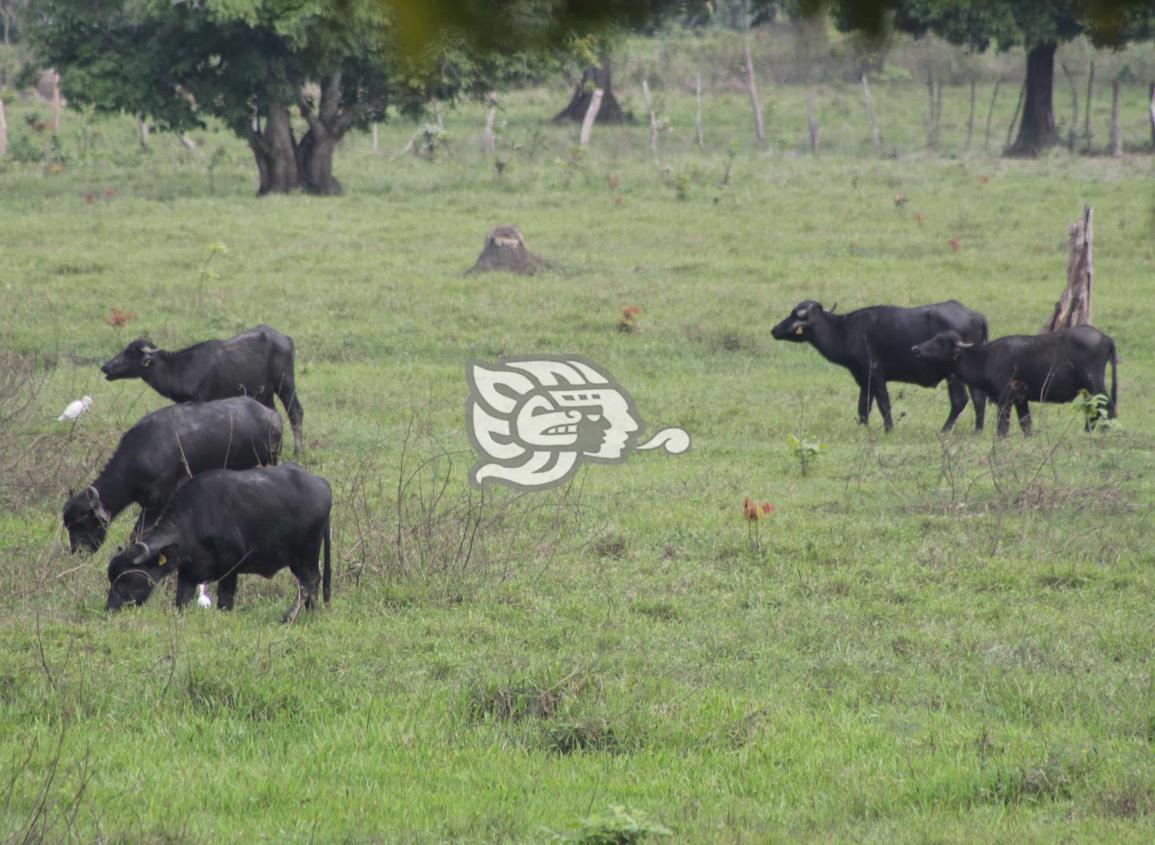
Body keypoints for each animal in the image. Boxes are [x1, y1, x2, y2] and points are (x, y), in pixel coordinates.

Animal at [63, 397, 281, 554]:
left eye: (82, 523)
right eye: (68, 526)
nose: (78, 552)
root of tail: (273, 416)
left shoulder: (158, 503)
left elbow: (138, 535)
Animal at [101, 325, 304, 454]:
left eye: (130, 353)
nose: (105, 367)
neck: (181, 369)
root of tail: (286, 339)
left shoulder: (202, 400)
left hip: (285, 384)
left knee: (295, 412)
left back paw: (298, 451)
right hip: (265, 393)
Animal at [103, 461, 334, 618]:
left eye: (125, 578)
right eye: (112, 579)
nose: (110, 608)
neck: (195, 521)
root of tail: (322, 484)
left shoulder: (231, 568)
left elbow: (224, 603)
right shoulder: (187, 573)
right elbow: (181, 602)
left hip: (307, 552)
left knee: (309, 582)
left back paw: (288, 617)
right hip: (298, 558)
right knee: (311, 583)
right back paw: (310, 613)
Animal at [771, 300, 988, 431]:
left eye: (794, 315)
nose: (774, 330)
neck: (845, 331)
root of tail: (977, 316)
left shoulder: (875, 374)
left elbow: (884, 404)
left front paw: (889, 429)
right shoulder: (862, 378)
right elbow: (863, 406)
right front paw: (863, 428)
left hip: (953, 376)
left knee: (960, 400)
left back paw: (944, 430)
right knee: (979, 398)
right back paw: (977, 430)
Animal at [910, 325, 1118, 436]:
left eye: (940, 342)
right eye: (935, 337)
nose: (916, 349)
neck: (985, 359)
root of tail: (1106, 338)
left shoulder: (1005, 399)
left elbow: (1002, 428)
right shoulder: (1021, 400)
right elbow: (1026, 425)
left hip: (1094, 384)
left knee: (1106, 405)